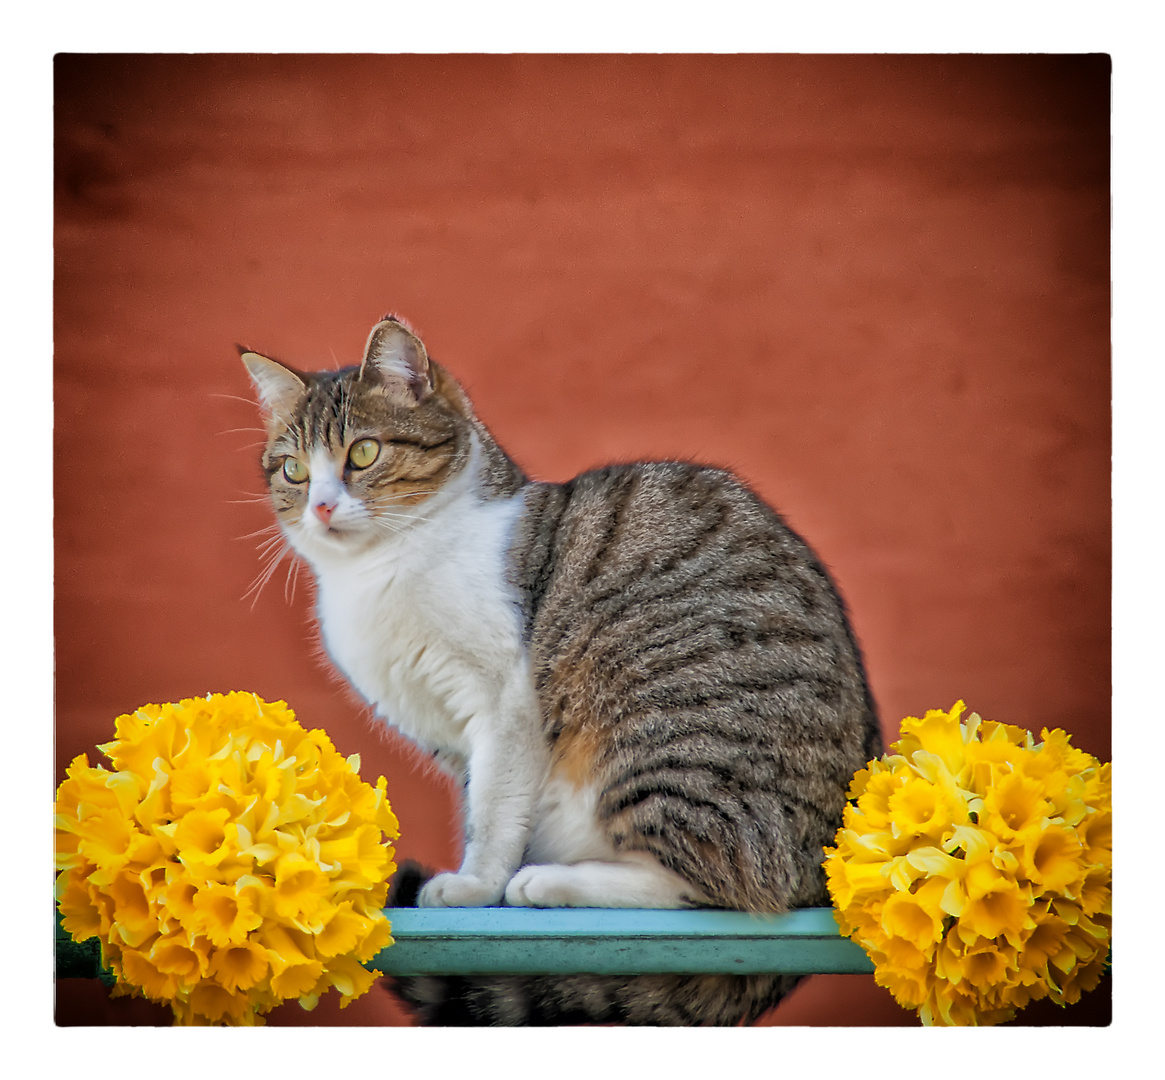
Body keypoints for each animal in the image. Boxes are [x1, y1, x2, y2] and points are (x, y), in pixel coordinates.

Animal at [243, 316, 880, 1025]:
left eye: (362, 454)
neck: (378, 570)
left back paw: (551, 880)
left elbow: (494, 811)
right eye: (294, 470)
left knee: (731, 886)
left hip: (660, 733)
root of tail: (822, 876)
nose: (322, 508)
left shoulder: (506, 699)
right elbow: (483, 801)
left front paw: (475, 886)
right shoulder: (457, 739)